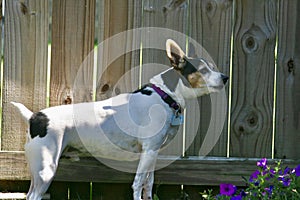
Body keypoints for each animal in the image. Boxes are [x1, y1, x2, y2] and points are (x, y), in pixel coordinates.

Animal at [11, 39, 227, 200]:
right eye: (203, 70)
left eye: (212, 67)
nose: (225, 77)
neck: (164, 95)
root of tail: (34, 117)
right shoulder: (148, 151)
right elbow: (138, 184)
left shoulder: (153, 153)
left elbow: (148, 184)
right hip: (46, 169)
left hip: (37, 170)